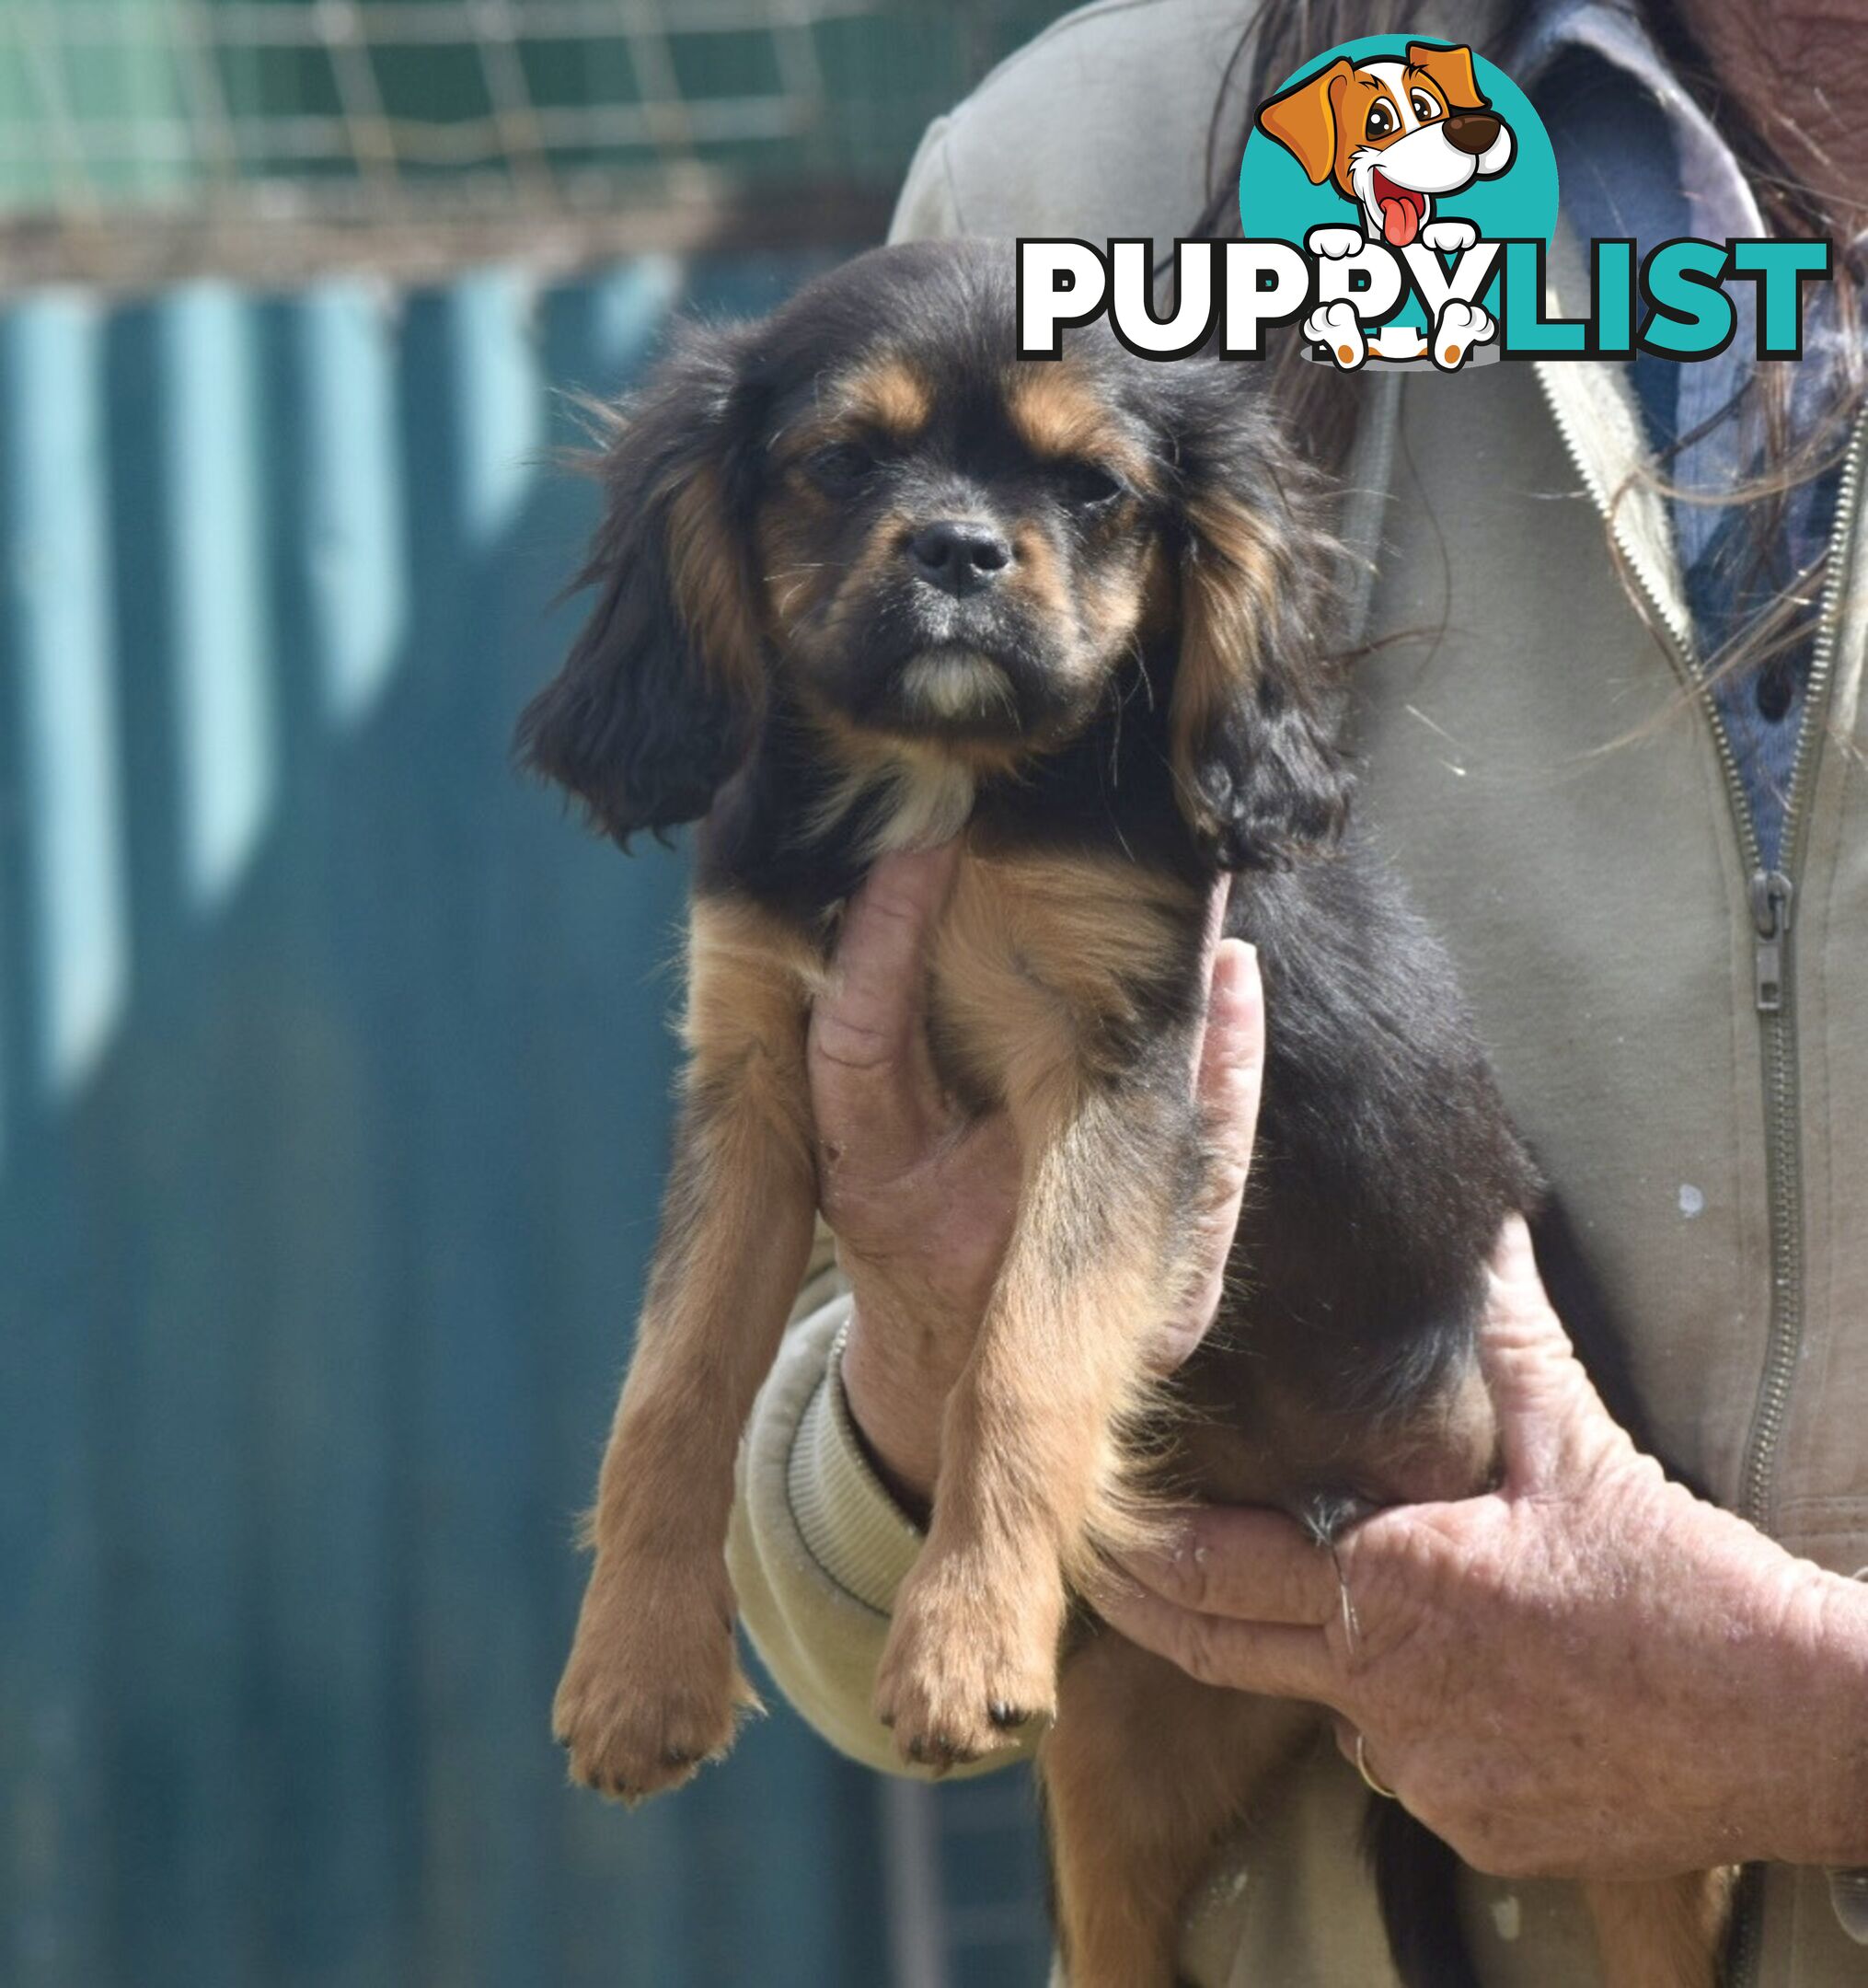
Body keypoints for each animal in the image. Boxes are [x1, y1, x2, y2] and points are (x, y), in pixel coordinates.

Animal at [516, 237, 1733, 1988]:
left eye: (1093, 490)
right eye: (842, 462)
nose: (960, 549)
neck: (942, 782)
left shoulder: (1124, 1068)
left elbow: (1023, 1348)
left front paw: (958, 1642)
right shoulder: (754, 1078)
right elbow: (670, 1388)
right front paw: (634, 1676)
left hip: (1625, 1799)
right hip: (1120, 1751)